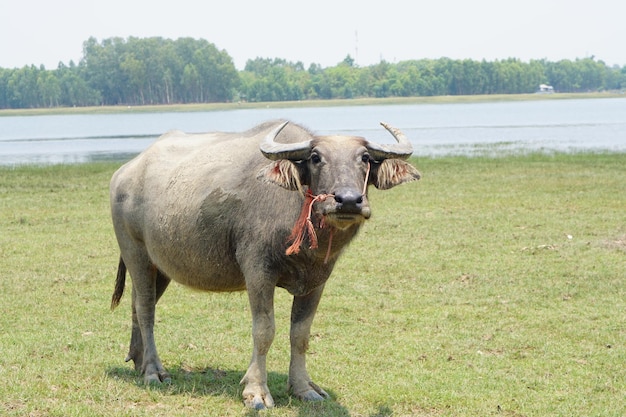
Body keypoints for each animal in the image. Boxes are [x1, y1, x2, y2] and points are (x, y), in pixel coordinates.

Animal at [108, 118, 420, 408]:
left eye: (365, 158)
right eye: (315, 157)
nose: (348, 200)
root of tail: (125, 172)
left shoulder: (317, 280)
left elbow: (300, 334)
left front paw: (304, 388)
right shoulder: (258, 273)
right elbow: (264, 330)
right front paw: (256, 391)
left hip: (160, 267)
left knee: (137, 304)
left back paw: (138, 360)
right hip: (135, 252)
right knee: (146, 309)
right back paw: (153, 371)